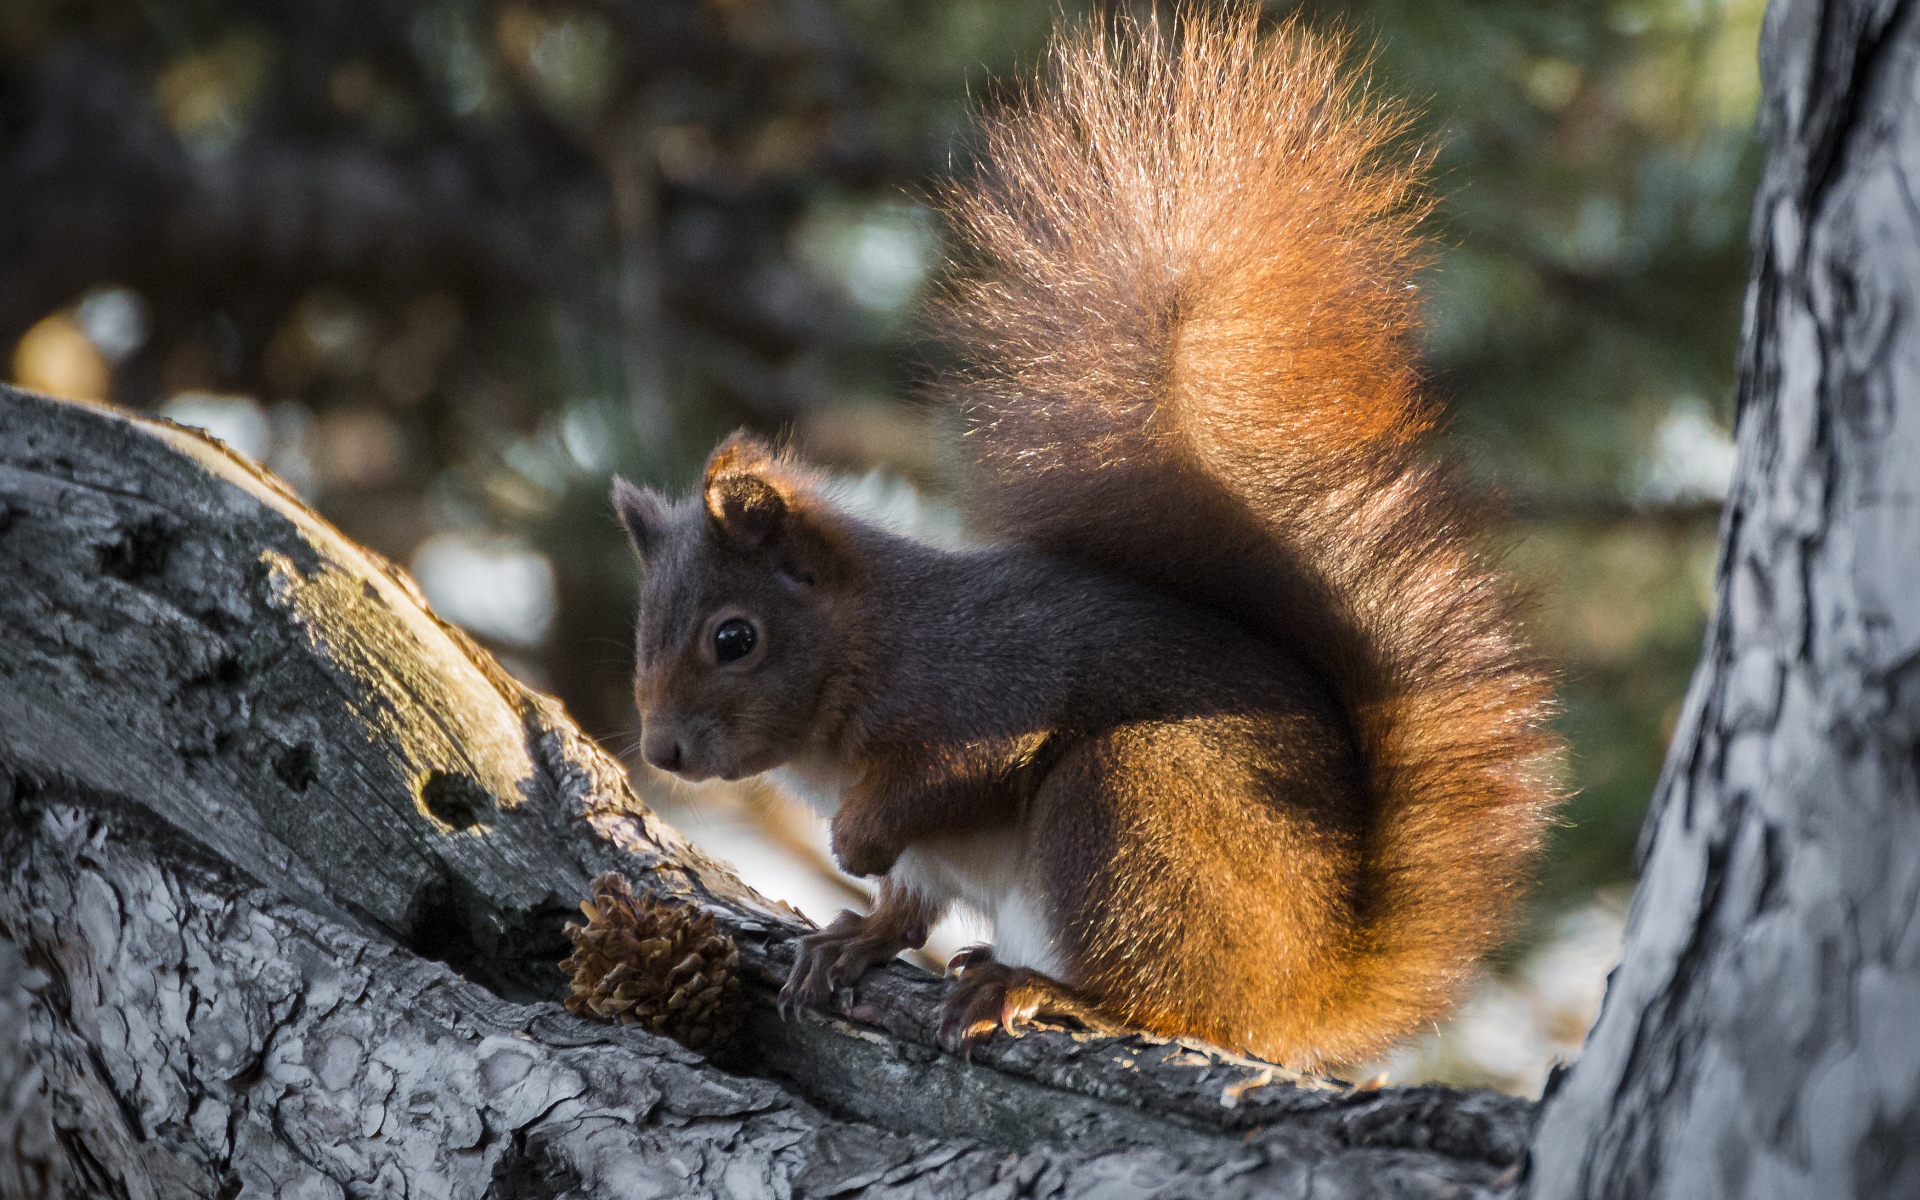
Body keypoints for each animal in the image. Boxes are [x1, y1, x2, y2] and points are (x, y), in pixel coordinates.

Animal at [614, 0, 1559, 1067]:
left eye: (734, 639)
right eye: (641, 632)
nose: (664, 752)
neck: (867, 648)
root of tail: (1309, 993)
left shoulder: (981, 689)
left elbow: (948, 776)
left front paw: (854, 844)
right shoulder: (932, 855)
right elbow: (909, 902)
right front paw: (851, 937)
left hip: (1127, 808)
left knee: (1171, 999)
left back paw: (1048, 990)